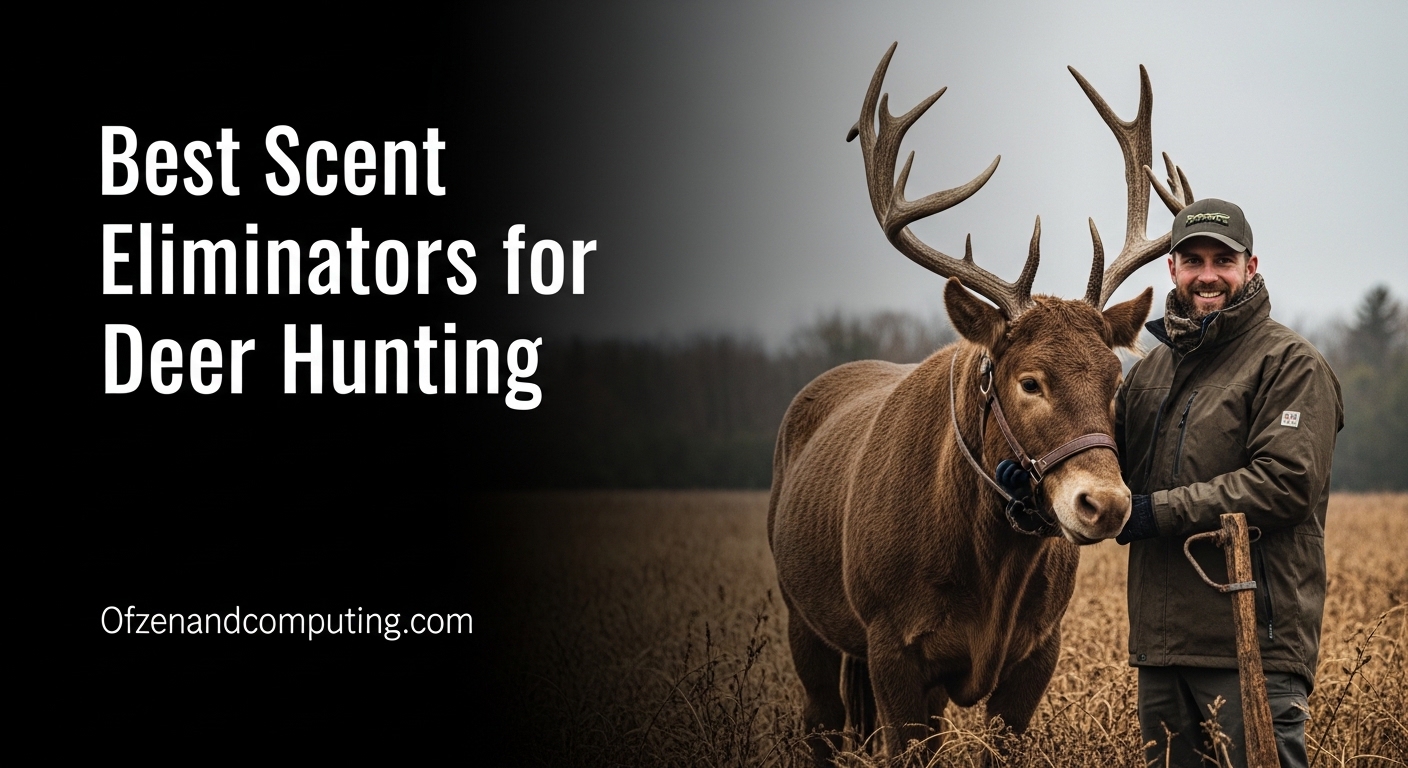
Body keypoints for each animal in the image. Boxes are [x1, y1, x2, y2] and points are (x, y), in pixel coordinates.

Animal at [767, 43, 1197, 764]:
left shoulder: (1038, 650)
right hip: (805, 613)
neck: (987, 571)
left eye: (1117, 379)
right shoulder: (890, 641)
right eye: (1029, 381)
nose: (1104, 503)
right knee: (820, 723)